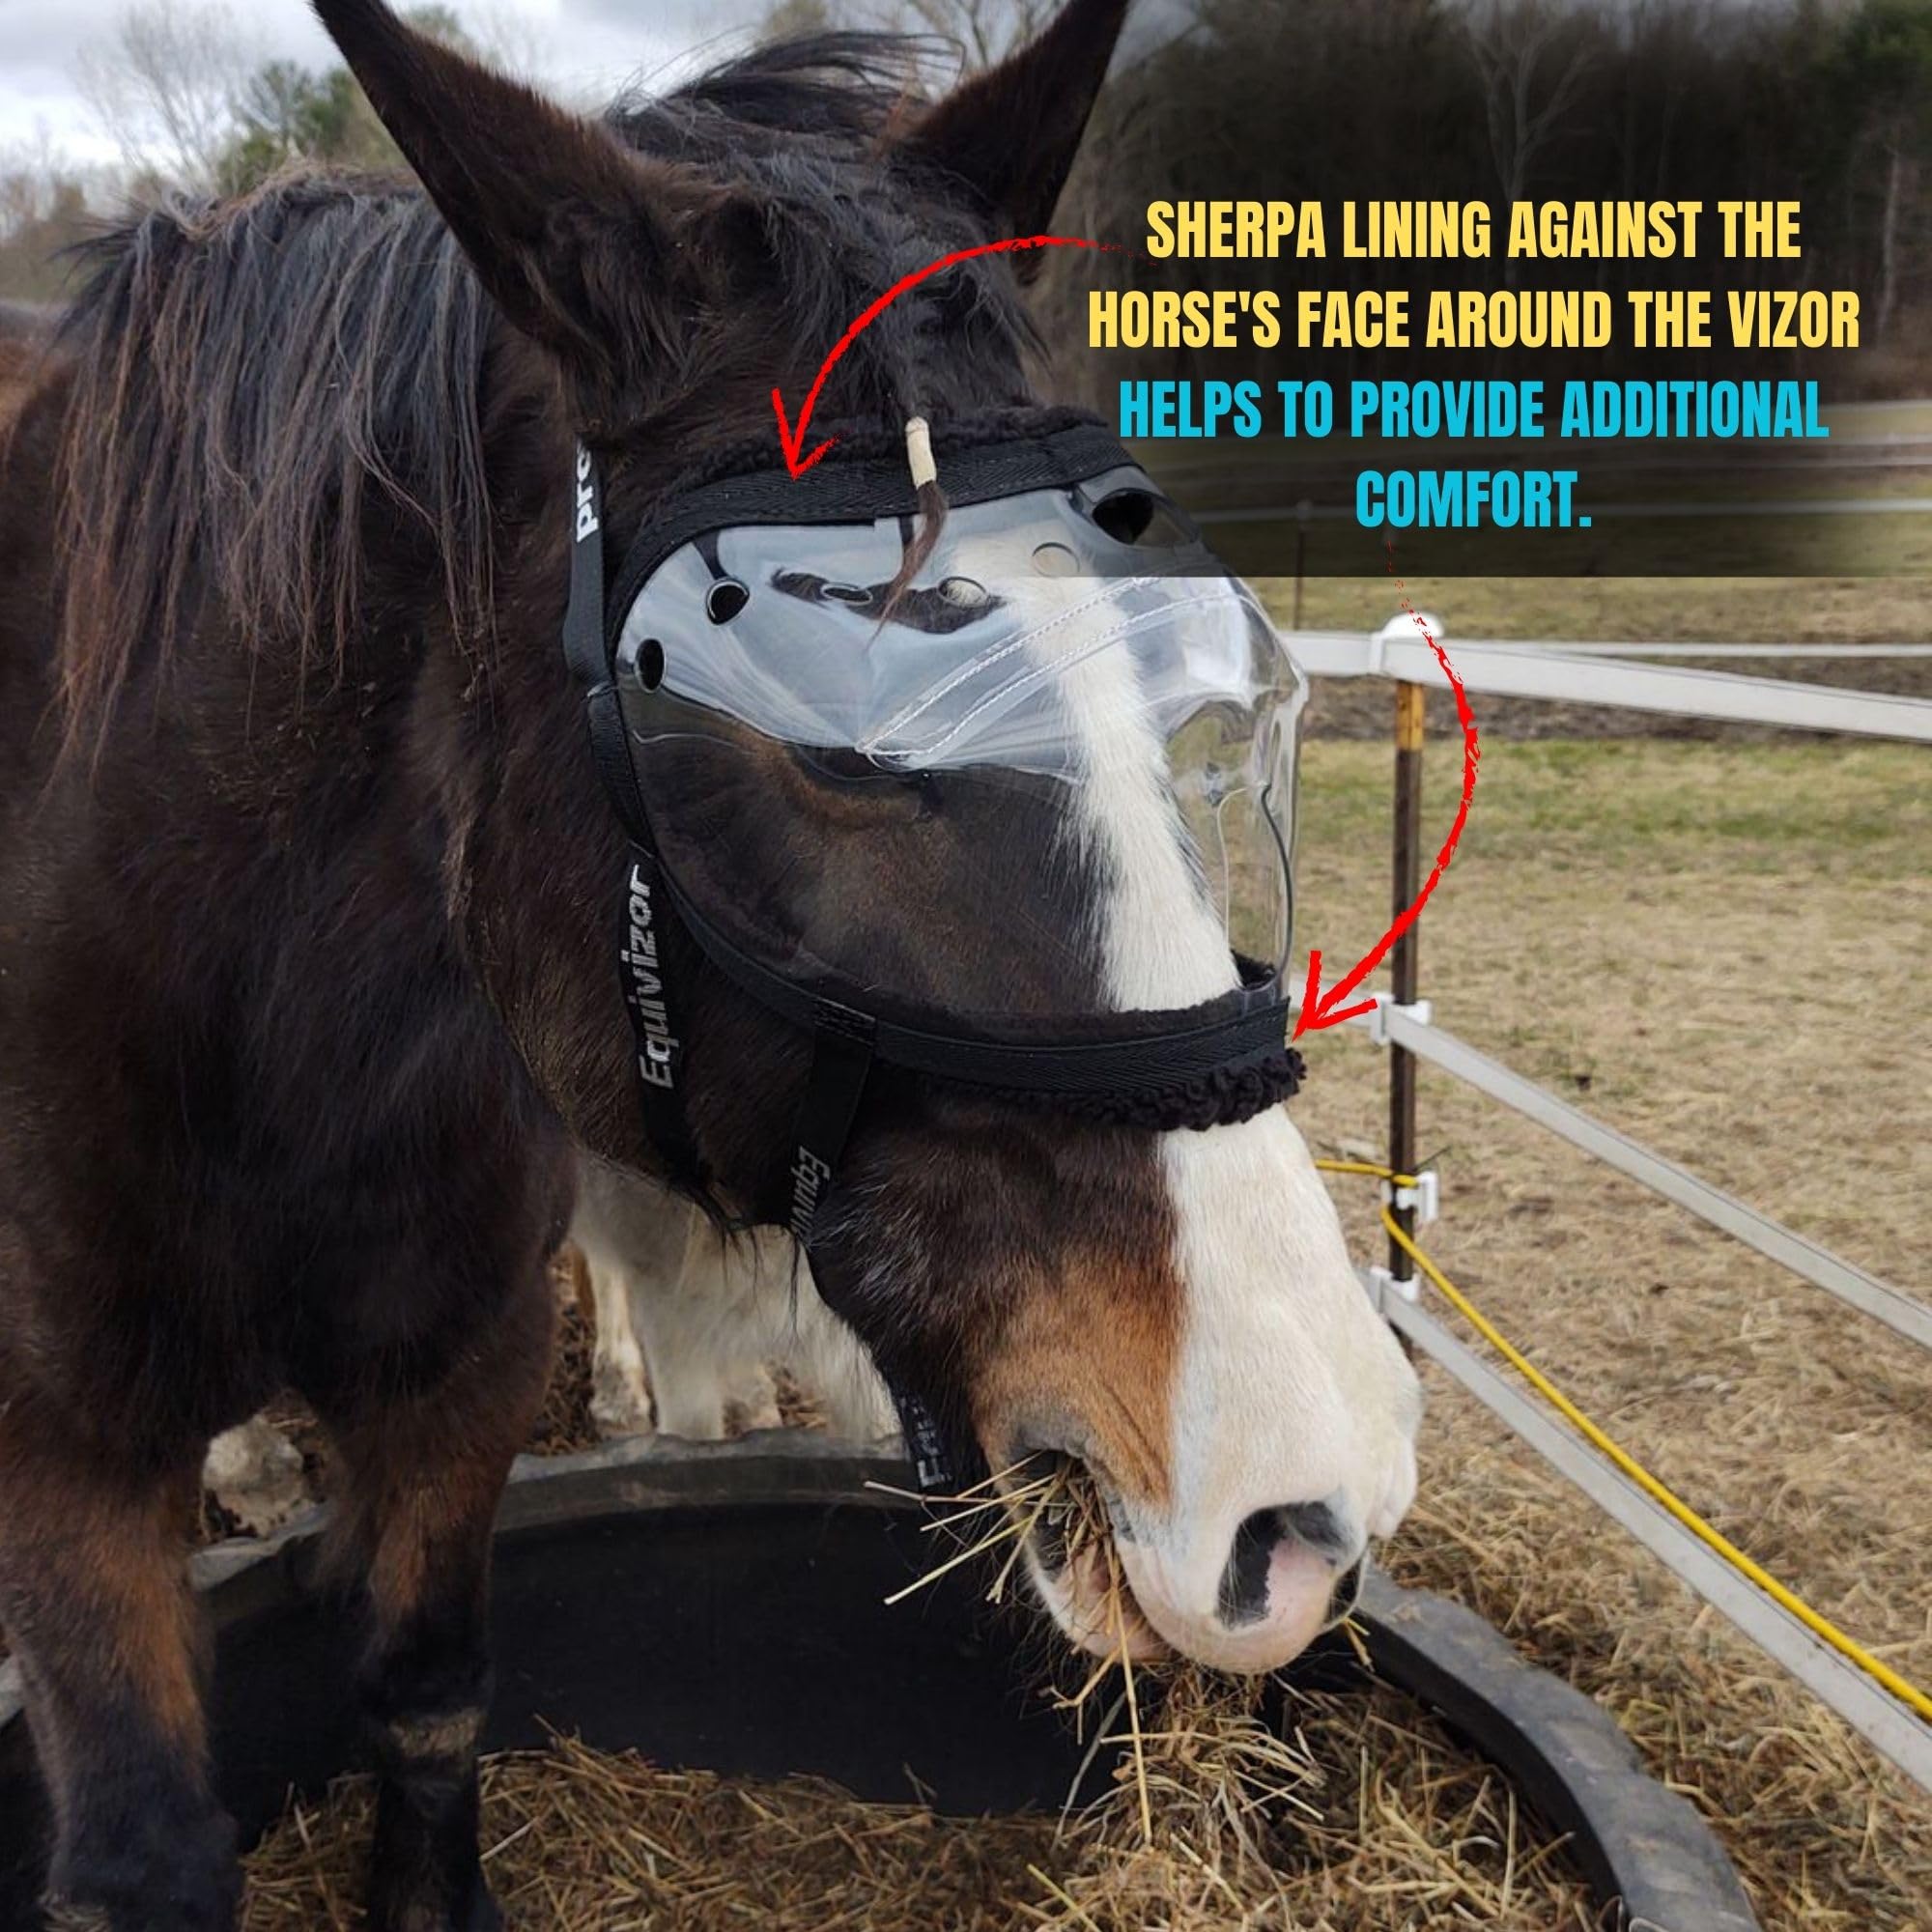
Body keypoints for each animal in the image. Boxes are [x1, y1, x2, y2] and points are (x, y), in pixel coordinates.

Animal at [0, 1, 1421, 1925]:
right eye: (831, 743)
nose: (1310, 1480)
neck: (247, 1032)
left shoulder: (458, 1381)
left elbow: (427, 1700)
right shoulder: (60, 1459)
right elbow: (145, 1849)